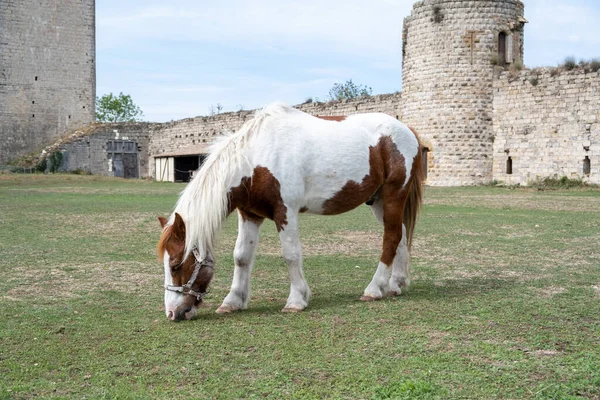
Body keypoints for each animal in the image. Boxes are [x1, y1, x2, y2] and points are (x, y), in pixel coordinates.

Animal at [157, 103, 424, 322]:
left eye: (176, 265)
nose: (172, 313)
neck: (255, 159)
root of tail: (407, 130)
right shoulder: (250, 214)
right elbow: (241, 256)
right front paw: (232, 302)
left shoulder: (285, 211)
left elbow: (291, 254)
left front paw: (296, 300)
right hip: (378, 201)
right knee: (398, 234)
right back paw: (395, 285)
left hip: (393, 195)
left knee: (390, 238)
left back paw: (374, 289)